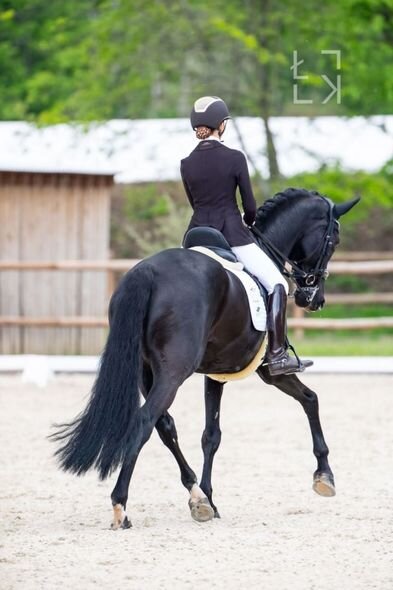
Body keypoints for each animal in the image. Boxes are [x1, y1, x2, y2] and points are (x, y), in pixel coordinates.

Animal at [52, 191, 358, 532]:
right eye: (334, 239)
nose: (314, 299)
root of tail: (148, 272)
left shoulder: (216, 372)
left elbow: (211, 435)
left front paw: (208, 498)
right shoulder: (270, 372)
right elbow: (311, 399)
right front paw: (325, 477)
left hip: (146, 372)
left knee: (165, 425)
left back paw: (195, 496)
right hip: (174, 372)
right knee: (145, 422)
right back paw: (121, 506)